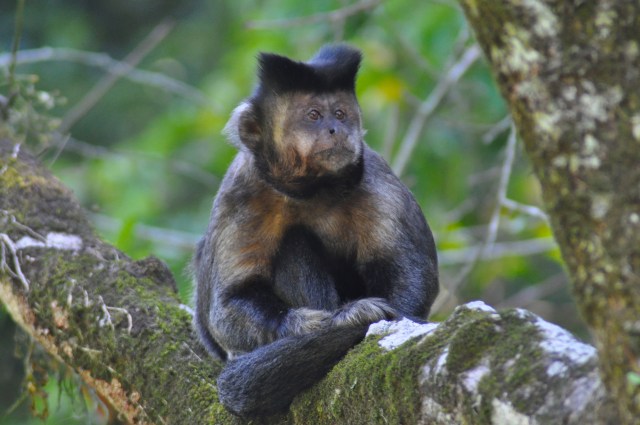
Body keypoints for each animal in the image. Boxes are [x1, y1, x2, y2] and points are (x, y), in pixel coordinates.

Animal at [193, 44, 439, 417]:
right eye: (313, 115)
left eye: (340, 113)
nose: (336, 129)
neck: (311, 191)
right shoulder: (241, 192)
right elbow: (225, 304)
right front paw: (324, 324)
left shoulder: (378, 183)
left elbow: (411, 275)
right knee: (291, 243)